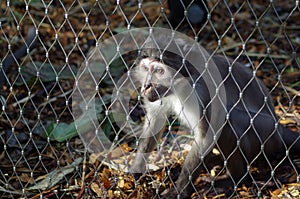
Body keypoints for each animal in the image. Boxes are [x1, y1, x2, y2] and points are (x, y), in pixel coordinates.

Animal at [129, 37, 300, 197]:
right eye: (146, 69)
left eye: (159, 71)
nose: (146, 85)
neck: (182, 84)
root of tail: (279, 127)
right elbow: (154, 122)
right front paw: (136, 171)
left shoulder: (205, 89)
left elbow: (207, 135)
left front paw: (180, 190)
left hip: (267, 132)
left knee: (229, 121)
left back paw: (235, 177)